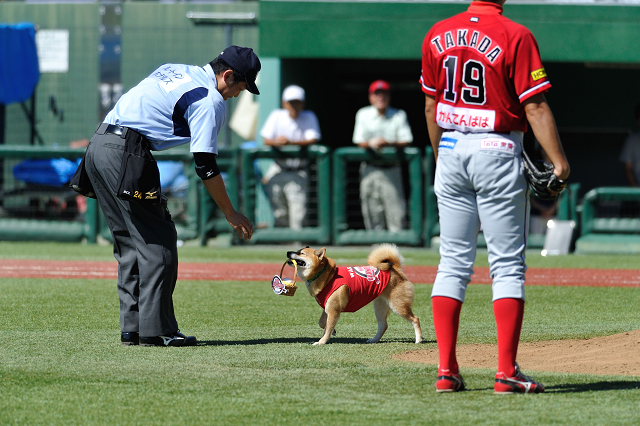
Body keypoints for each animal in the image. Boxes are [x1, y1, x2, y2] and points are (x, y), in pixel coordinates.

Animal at [288, 243, 422, 346]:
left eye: (302, 253)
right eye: (298, 250)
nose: (288, 252)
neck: (326, 275)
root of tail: (396, 268)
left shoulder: (333, 310)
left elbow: (327, 328)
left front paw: (321, 342)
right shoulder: (328, 307)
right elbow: (322, 323)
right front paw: (333, 331)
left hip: (398, 305)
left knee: (415, 319)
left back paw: (418, 339)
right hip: (379, 306)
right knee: (383, 325)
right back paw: (374, 340)